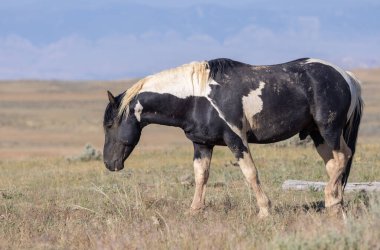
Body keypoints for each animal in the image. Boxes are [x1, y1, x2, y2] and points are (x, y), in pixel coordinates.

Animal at [103, 58, 362, 217]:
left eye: (109, 125)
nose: (109, 163)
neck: (196, 98)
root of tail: (347, 77)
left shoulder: (236, 139)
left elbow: (250, 174)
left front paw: (264, 210)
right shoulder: (202, 144)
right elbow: (201, 176)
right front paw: (194, 210)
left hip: (329, 130)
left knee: (343, 157)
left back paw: (331, 200)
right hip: (318, 135)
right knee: (334, 164)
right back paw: (336, 205)